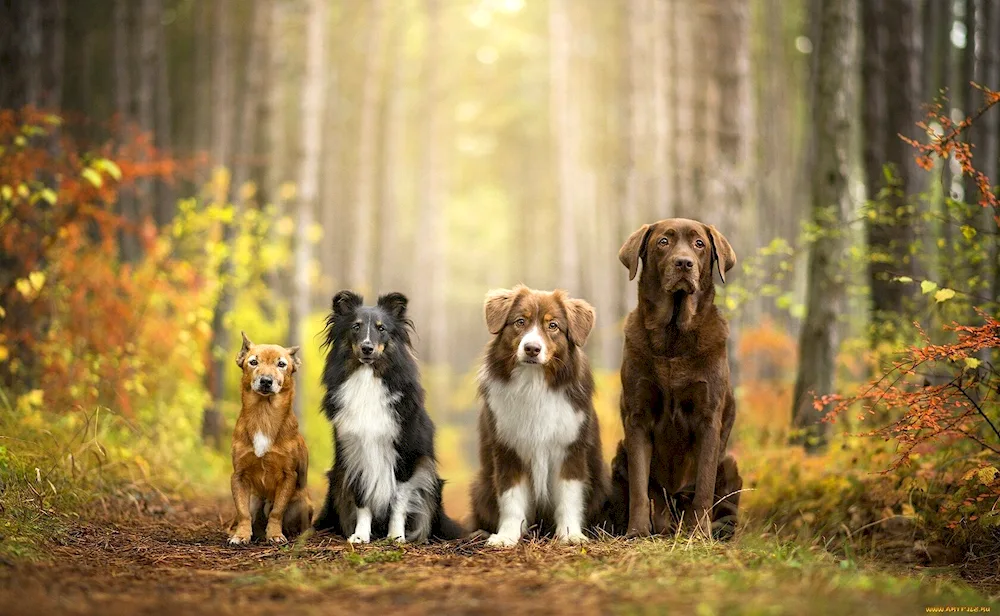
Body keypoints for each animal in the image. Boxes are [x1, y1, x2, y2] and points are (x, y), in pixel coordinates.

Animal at [229, 332, 310, 544]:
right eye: (253, 362)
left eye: (281, 364)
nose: (266, 381)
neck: (263, 415)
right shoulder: (238, 476)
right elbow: (242, 512)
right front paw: (241, 535)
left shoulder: (288, 476)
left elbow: (277, 511)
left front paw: (274, 534)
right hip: (255, 500)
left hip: (302, 502)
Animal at [470, 286, 608, 548]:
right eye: (520, 321)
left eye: (553, 325)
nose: (532, 348)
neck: (533, 383)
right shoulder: (508, 449)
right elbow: (511, 498)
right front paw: (507, 535)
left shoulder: (571, 449)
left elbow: (569, 497)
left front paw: (570, 534)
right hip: (480, 486)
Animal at [604, 219, 740, 536]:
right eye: (663, 242)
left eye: (699, 244)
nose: (684, 263)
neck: (673, 337)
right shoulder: (638, 416)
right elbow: (641, 488)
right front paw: (637, 532)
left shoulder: (708, 417)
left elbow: (703, 487)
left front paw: (699, 533)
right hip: (620, 454)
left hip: (729, 461)